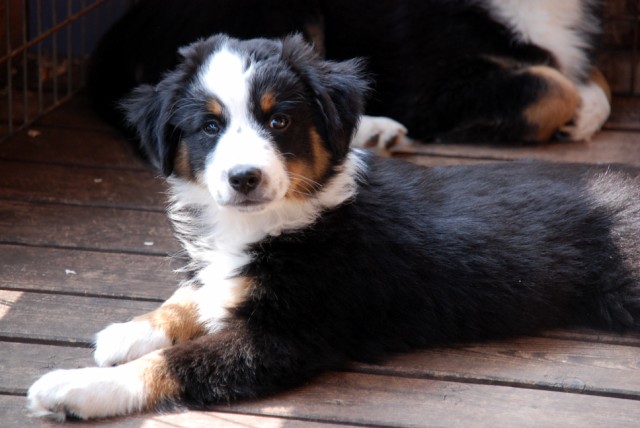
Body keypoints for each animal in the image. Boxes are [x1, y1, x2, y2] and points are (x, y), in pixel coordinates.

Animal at [28, 34, 640, 421]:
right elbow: (194, 294)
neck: (278, 219)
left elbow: (176, 362)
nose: (244, 178)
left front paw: (75, 387)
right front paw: (130, 330)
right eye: (209, 127)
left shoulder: (284, 337)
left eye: (279, 120)